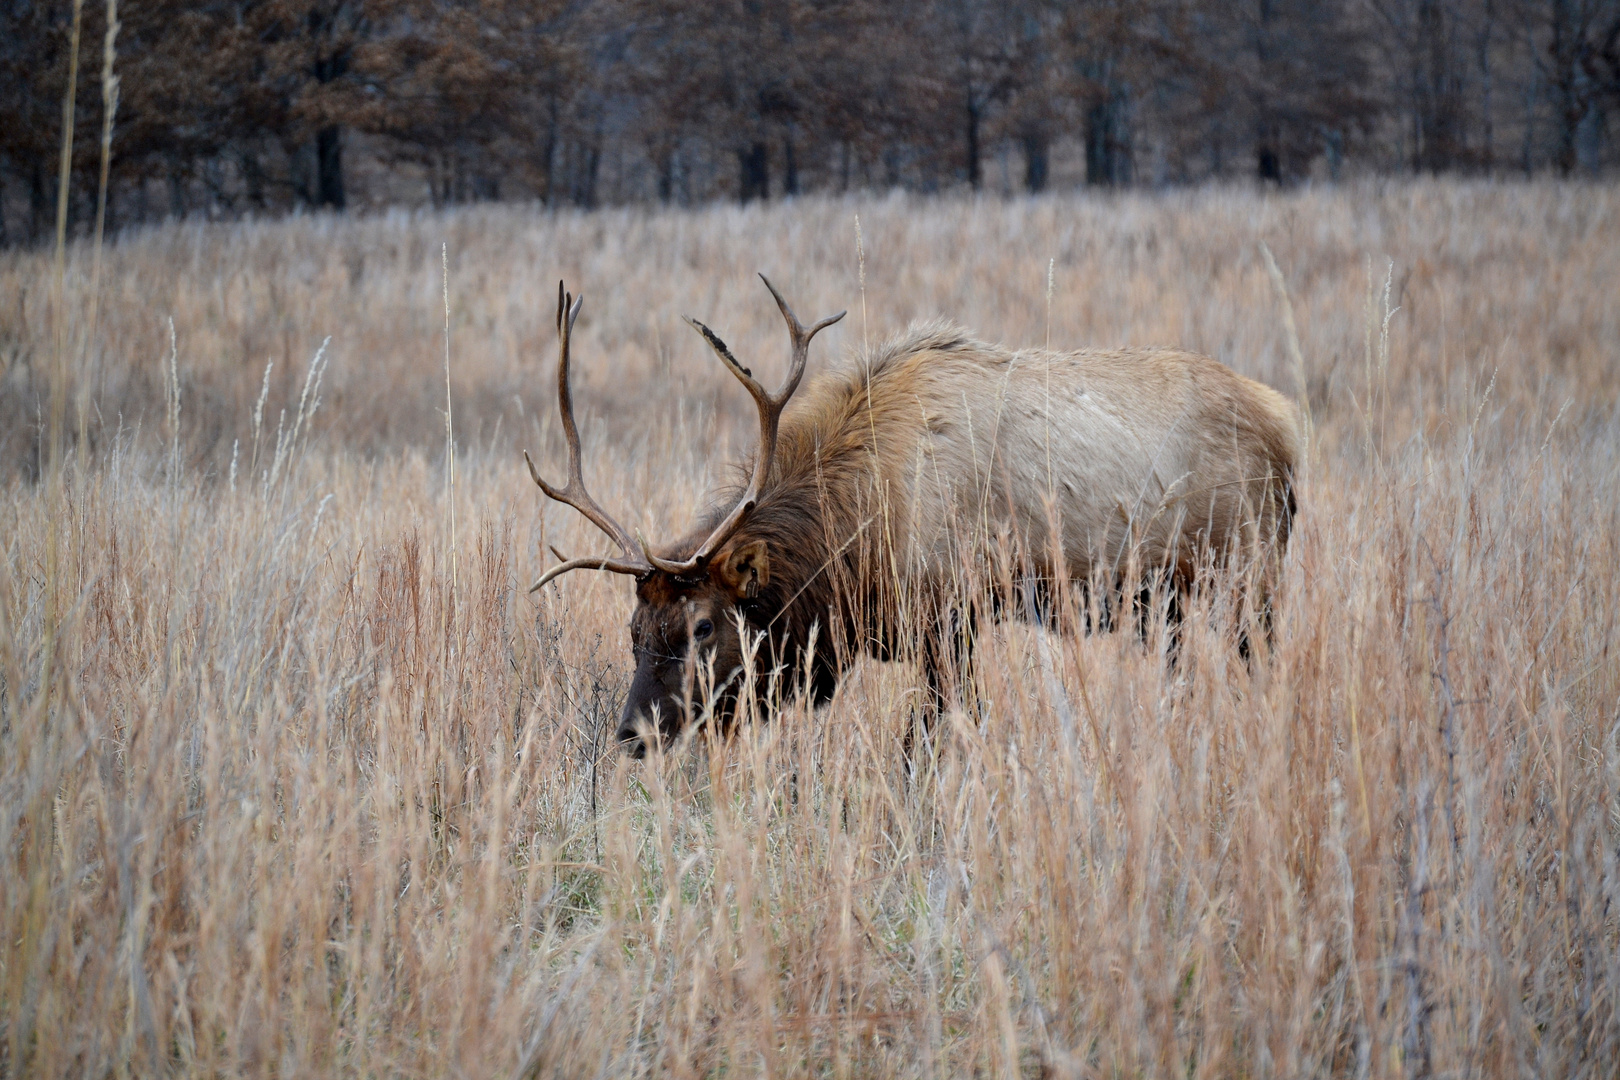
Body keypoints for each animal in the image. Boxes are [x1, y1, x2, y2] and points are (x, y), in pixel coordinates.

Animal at [524, 276, 1296, 761]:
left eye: (704, 626)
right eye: (633, 629)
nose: (633, 734)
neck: (852, 547)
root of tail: (1287, 427)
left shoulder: (951, 618)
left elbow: (925, 745)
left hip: (1252, 580)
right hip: (1175, 604)